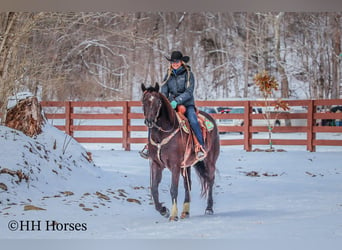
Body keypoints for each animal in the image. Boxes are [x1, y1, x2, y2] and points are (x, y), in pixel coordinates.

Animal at [141, 83, 219, 220]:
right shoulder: (156, 164)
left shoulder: (175, 165)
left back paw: (209, 208)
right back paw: (185, 211)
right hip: (186, 165)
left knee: (210, 180)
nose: (149, 121)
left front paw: (173, 214)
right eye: (143, 101)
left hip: (210, 160)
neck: (163, 134)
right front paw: (163, 210)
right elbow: (154, 188)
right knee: (188, 185)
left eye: (158, 102)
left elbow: (173, 189)